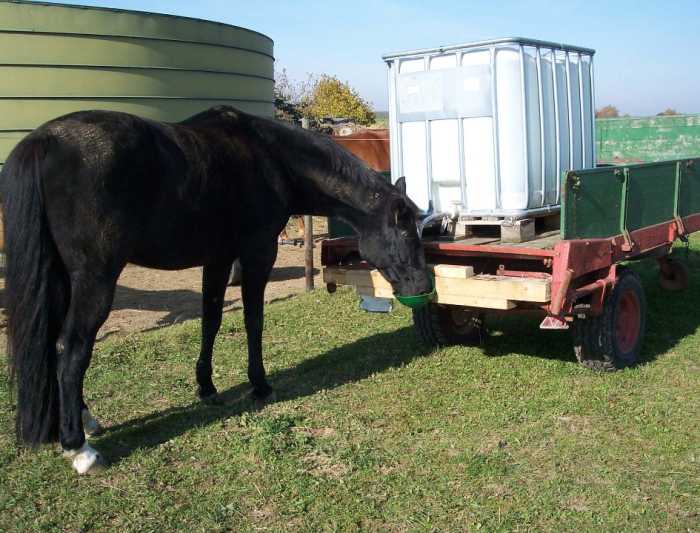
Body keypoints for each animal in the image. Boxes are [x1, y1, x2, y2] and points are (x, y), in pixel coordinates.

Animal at [1, 106, 432, 472]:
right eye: (404, 230)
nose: (424, 285)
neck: (272, 158)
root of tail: (45, 141)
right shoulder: (257, 253)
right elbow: (253, 320)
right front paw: (259, 384)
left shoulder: (218, 259)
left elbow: (210, 320)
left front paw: (206, 386)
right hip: (94, 279)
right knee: (71, 349)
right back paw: (80, 448)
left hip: (59, 276)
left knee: (54, 343)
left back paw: (84, 421)